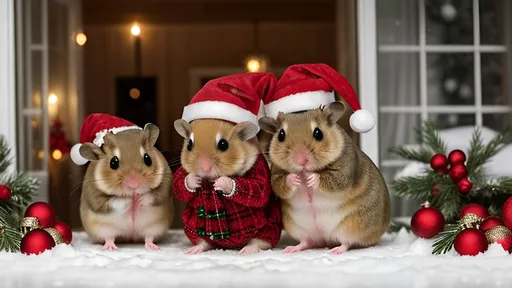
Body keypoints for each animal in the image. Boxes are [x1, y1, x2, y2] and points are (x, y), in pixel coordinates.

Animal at [258, 102, 390, 254]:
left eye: (318, 133)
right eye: (281, 135)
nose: (301, 160)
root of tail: (325, 240)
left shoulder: (344, 171)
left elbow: (333, 179)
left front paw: (310, 177)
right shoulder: (275, 174)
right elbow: (280, 184)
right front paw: (296, 178)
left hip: (351, 226)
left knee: (347, 243)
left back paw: (336, 251)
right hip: (298, 227)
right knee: (307, 242)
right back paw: (291, 249)